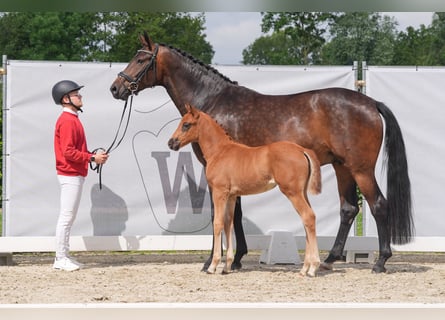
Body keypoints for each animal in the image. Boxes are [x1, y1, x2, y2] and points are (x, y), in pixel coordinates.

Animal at [166, 104, 320, 276]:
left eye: (186, 124)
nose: (171, 143)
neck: (220, 151)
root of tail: (302, 150)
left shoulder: (219, 193)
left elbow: (218, 223)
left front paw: (213, 266)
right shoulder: (232, 196)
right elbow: (229, 223)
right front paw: (227, 266)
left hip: (292, 192)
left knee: (308, 217)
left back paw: (312, 268)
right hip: (302, 192)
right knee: (307, 221)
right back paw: (305, 268)